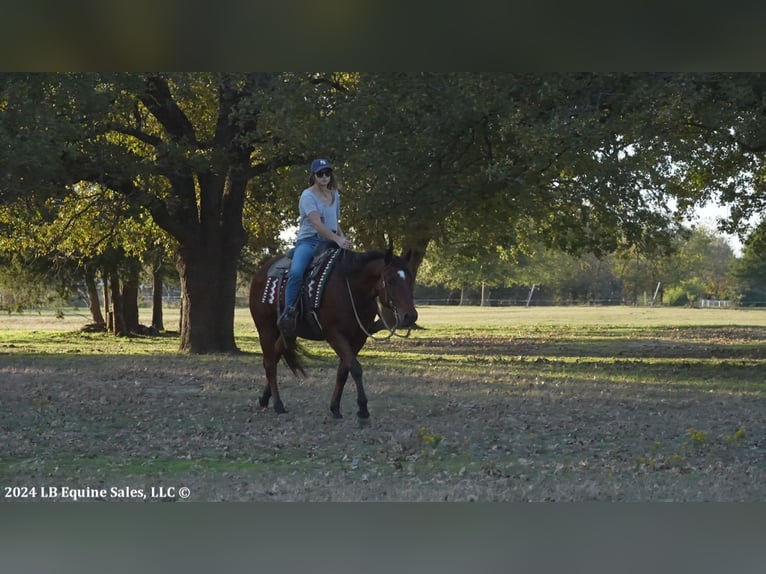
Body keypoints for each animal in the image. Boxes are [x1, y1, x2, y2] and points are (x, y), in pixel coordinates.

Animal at [249, 245, 420, 420]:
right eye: (390, 280)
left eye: (410, 279)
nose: (410, 316)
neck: (350, 288)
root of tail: (261, 272)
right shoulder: (334, 335)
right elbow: (355, 368)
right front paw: (363, 408)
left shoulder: (358, 338)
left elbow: (344, 371)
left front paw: (335, 407)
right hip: (265, 329)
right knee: (269, 363)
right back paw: (278, 405)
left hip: (289, 333)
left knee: (275, 356)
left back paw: (265, 398)